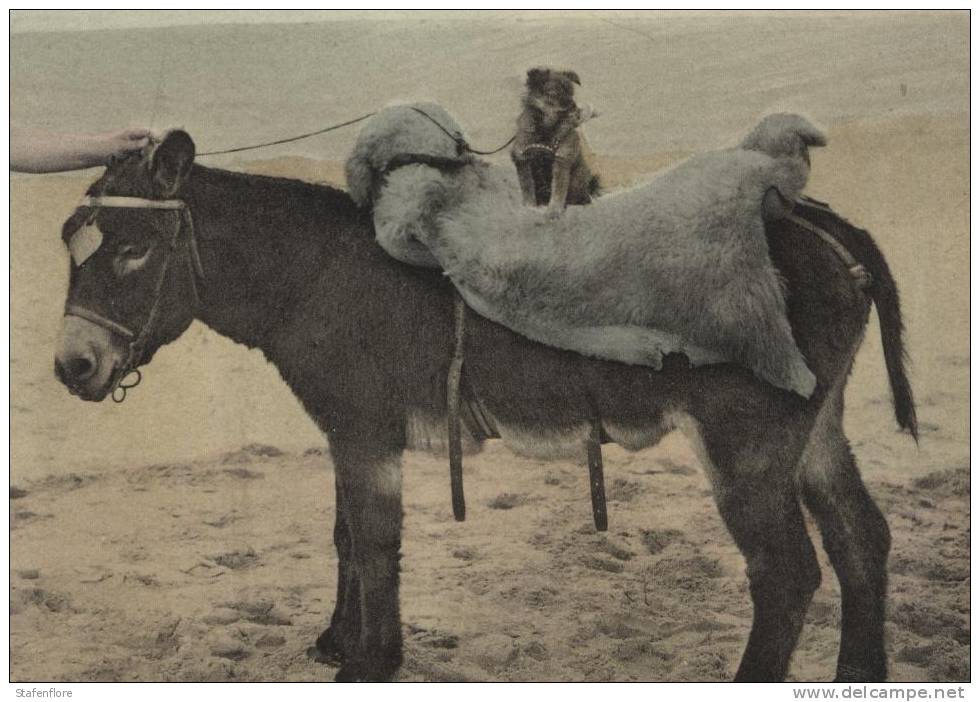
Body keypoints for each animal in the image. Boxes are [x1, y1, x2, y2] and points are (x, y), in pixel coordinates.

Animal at [510, 69, 600, 219]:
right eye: (554, 93)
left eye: (571, 93)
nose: (574, 106)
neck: (546, 130)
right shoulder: (523, 160)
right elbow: (528, 187)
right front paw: (530, 207)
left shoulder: (561, 161)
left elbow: (558, 191)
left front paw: (554, 211)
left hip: (577, 179)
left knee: (578, 195)